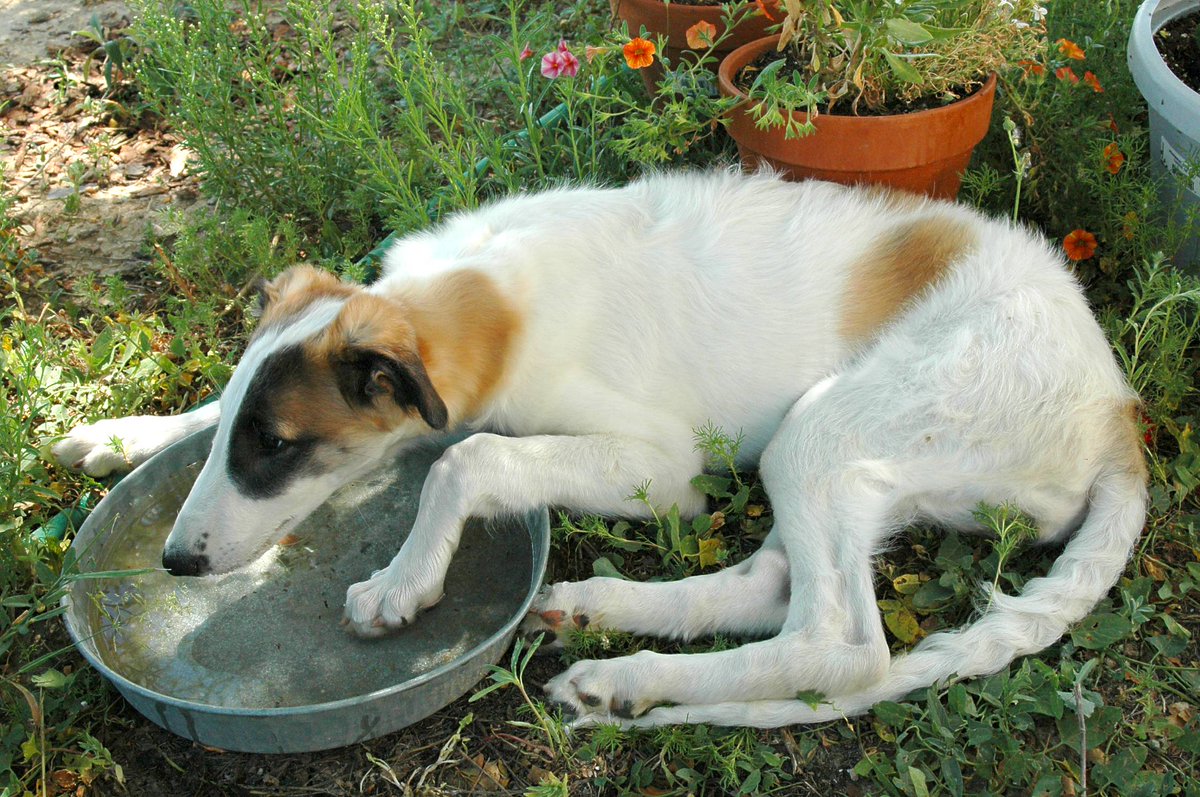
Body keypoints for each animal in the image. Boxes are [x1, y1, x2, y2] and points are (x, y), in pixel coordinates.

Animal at [54, 171, 1142, 724]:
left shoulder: (663, 465)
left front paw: (402, 583)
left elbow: (467, 457)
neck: (492, 294)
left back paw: (640, 675)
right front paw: (127, 432)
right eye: (252, 436)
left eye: (280, 445)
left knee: (838, 646)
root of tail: (1119, 411)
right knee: (770, 588)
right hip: (840, 458)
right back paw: (606, 627)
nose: (177, 560)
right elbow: (211, 408)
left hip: (830, 430)